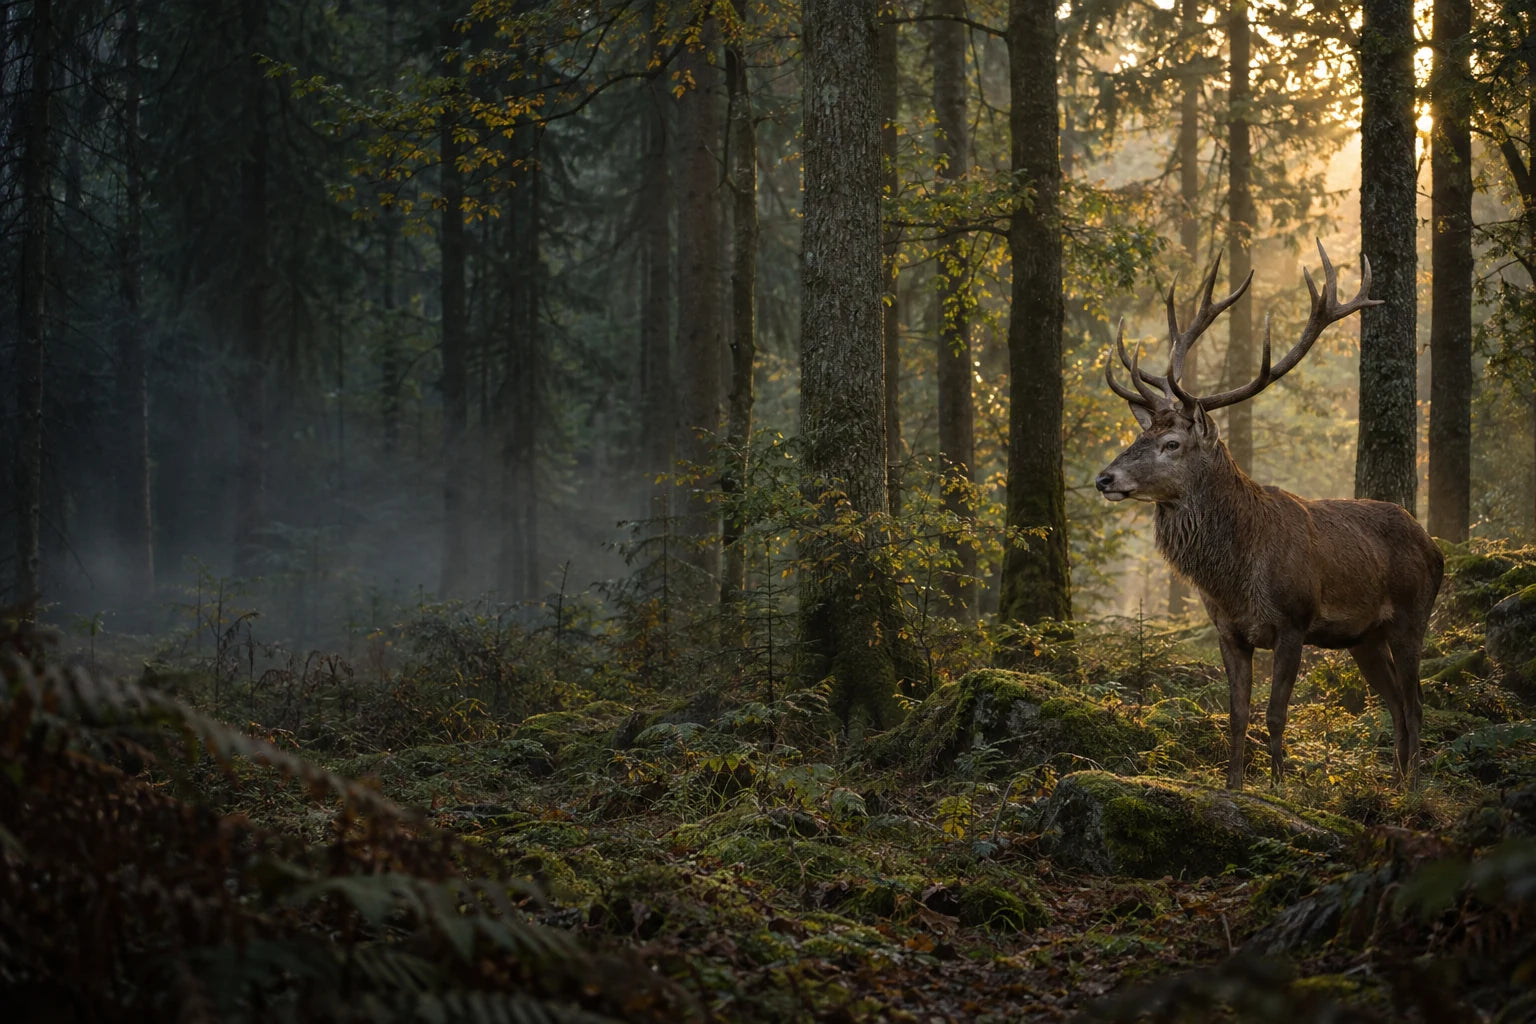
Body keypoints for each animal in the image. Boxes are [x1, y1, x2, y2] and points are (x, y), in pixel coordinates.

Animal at [1095, 242, 1444, 790]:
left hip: (1413, 614)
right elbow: (1238, 714)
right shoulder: (1228, 631)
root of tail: (1435, 547)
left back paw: (1412, 790)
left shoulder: (1293, 621)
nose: (1105, 478)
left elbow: (1277, 714)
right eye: (1139, 435)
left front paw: (1281, 786)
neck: (1235, 578)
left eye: (1171, 443)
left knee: (1415, 703)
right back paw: (1394, 783)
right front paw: (1234, 784)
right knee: (1393, 704)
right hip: (1364, 638)